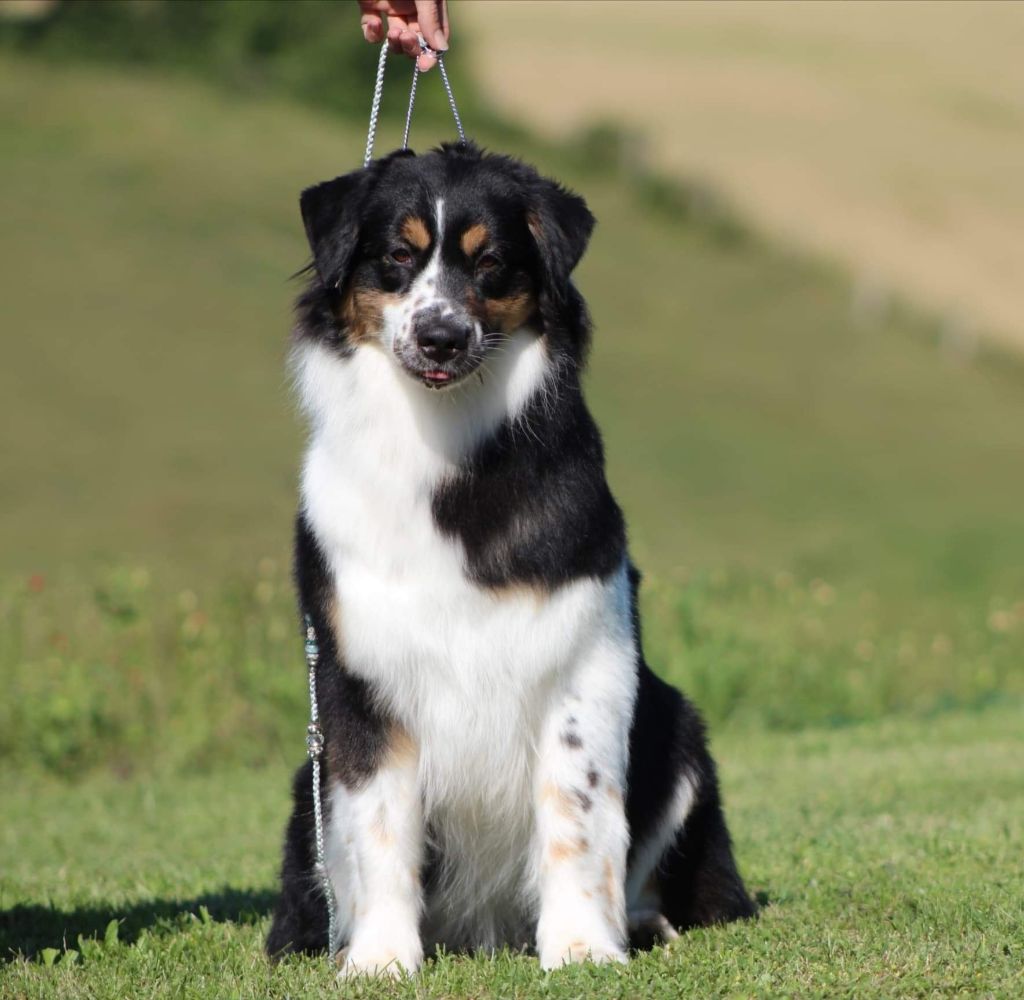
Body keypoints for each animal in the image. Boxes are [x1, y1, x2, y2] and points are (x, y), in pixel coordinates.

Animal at [268, 144, 757, 970]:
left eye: (491, 262)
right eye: (397, 256)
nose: (440, 336)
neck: (447, 443)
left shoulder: (582, 653)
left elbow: (578, 812)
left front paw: (584, 947)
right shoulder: (356, 678)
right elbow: (379, 824)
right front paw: (381, 959)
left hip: (680, 731)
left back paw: (643, 924)